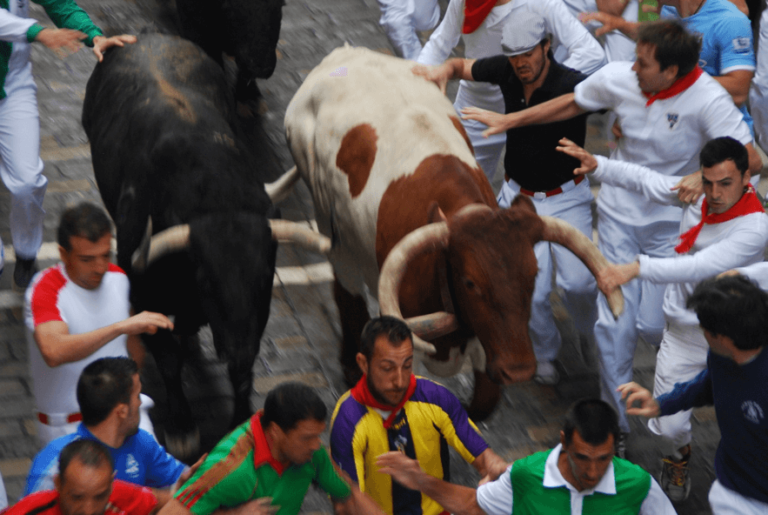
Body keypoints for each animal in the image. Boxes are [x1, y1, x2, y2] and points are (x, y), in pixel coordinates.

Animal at [82, 33, 280, 460]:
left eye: (264, 276)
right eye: (207, 280)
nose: (237, 349)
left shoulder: (252, 319)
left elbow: (242, 375)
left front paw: (241, 420)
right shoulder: (144, 293)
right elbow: (169, 359)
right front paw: (182, 427)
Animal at [282, 46, 624, 420]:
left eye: (533, 274)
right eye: (470, 282)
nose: (519, 369)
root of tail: (345, 52)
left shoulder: (487, 348)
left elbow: (477, 407)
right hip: (332, 226)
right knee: (346, 288)